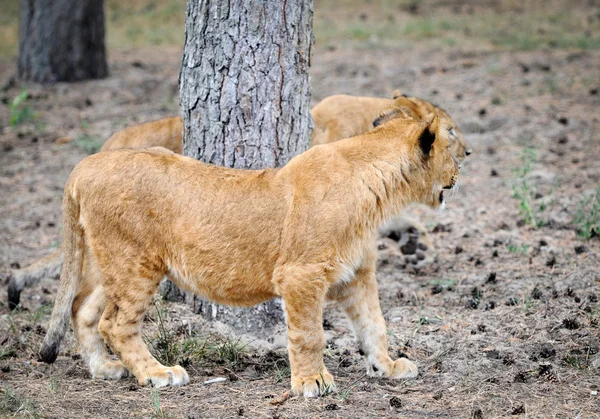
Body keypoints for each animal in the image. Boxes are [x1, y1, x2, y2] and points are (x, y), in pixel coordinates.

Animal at [38, 109, 460, 398]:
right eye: (453, 149)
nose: (462, 168)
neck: (378, 192)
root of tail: (86, 164)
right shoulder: (301, 274)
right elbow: (309, 334)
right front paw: (312, 381)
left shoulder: (357, 275)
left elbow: (375, 326)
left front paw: (387, 367)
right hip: (135, 262)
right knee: (115, 324)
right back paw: (158, 374)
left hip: (105, 261)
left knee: (82, 311)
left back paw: (105, 369)